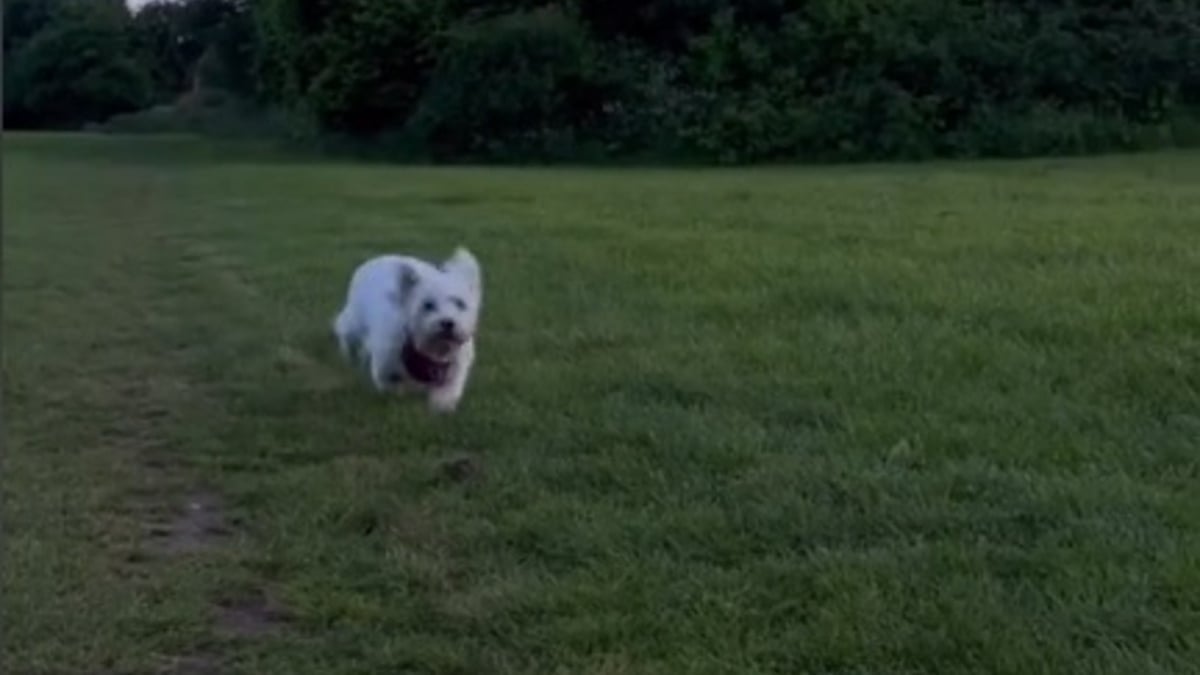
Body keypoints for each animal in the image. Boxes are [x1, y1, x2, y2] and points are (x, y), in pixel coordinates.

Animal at [333, 247, 482, 410]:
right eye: (428, 305)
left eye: (460, 303)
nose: (447, 322)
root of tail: (380, 258)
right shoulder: (386, 360)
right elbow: (389, 382)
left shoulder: (456, 367)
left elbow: (448, 391)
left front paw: (441, 406)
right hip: (355, 321)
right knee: (345, 331)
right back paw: (348, 354)